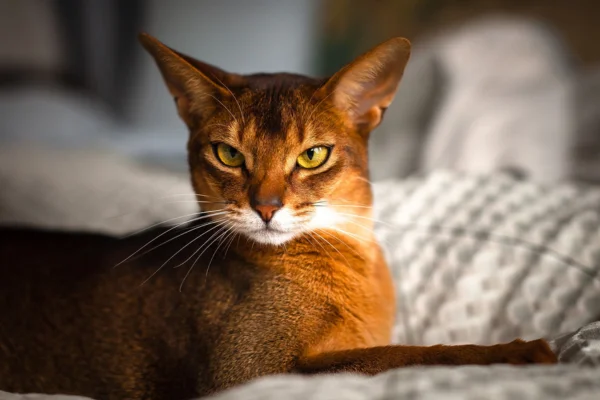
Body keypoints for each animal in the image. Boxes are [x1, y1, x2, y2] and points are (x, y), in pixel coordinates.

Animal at [0, 32, 556, 398]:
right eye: (228, 154)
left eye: (312, 156)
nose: (265, 207)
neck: (353, 263)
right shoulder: (248, 372)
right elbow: (398, 357)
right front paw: (512, 353)